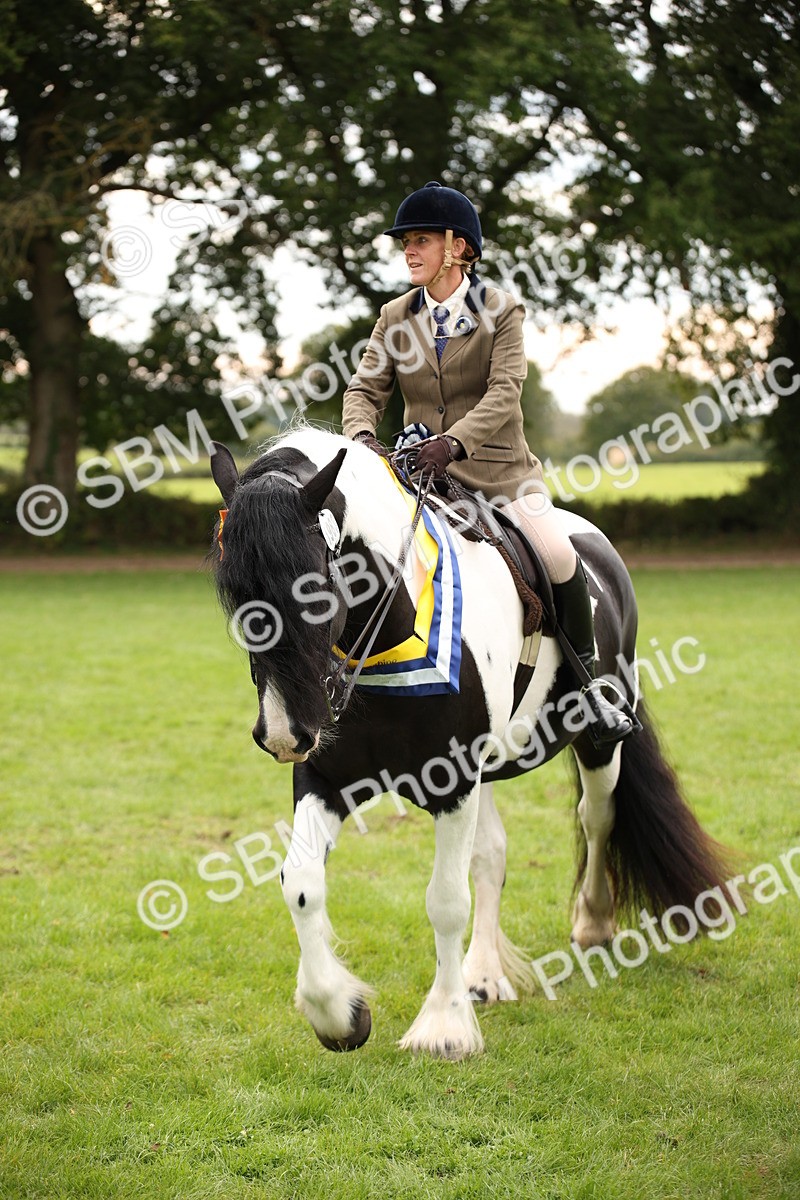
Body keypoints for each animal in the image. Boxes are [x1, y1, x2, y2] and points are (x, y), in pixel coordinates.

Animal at [209, 424, 729, 1060]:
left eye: (315, 589)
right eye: (234, 595)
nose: (284, 734)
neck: (392, 634)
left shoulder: (453, 780)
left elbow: (446, 900)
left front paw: (444, 1025)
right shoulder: (328, 778)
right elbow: (301, 881)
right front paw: (338, 1014)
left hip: (598, 741)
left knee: (595, 817)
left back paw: (593, 923)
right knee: (493, 854)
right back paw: (484, 975)